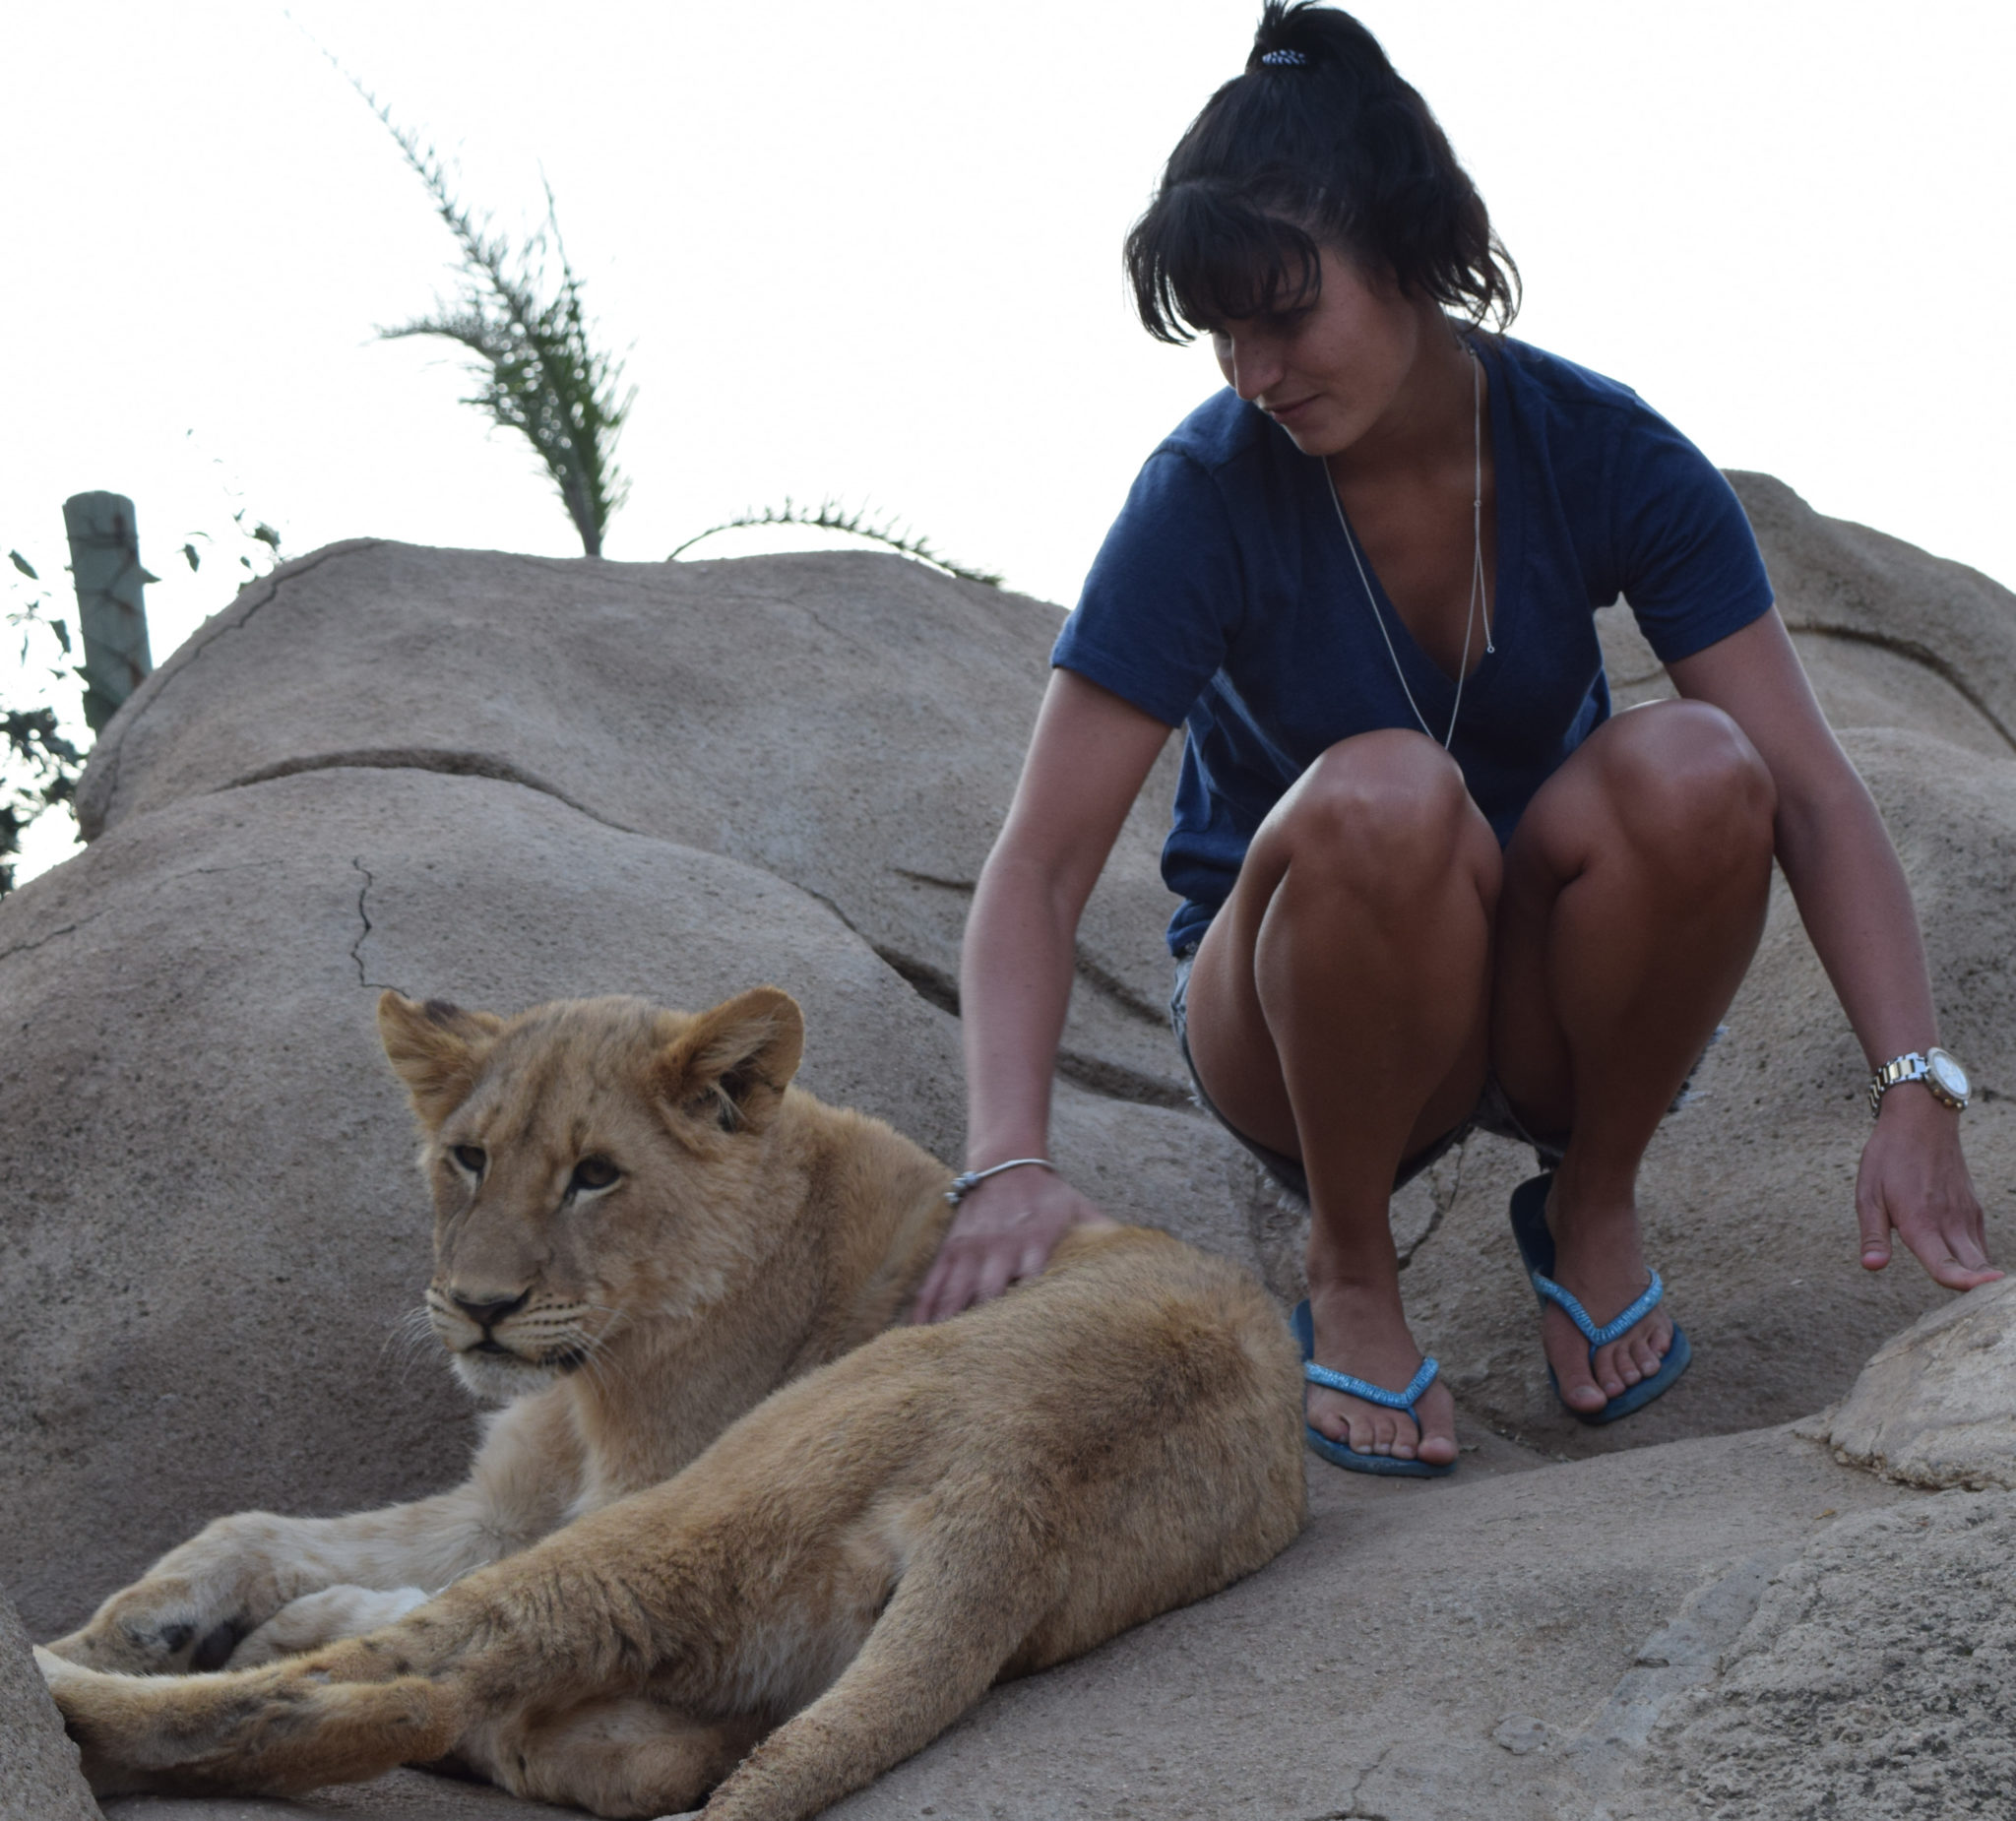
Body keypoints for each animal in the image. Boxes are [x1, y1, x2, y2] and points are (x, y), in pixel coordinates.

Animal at [42, 986, 1306, 1819]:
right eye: (467, 1156)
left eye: (595, 1174)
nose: (479, 1307)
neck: (596, 1369)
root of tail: (1014, 1496)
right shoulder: (501, 1501)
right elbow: (250, 1526)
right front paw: (143, 1621)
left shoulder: (597, 1495)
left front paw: (113, 1643)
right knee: (579, 1733)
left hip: (695, 1509)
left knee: (393, 1693)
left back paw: (83, 1683)